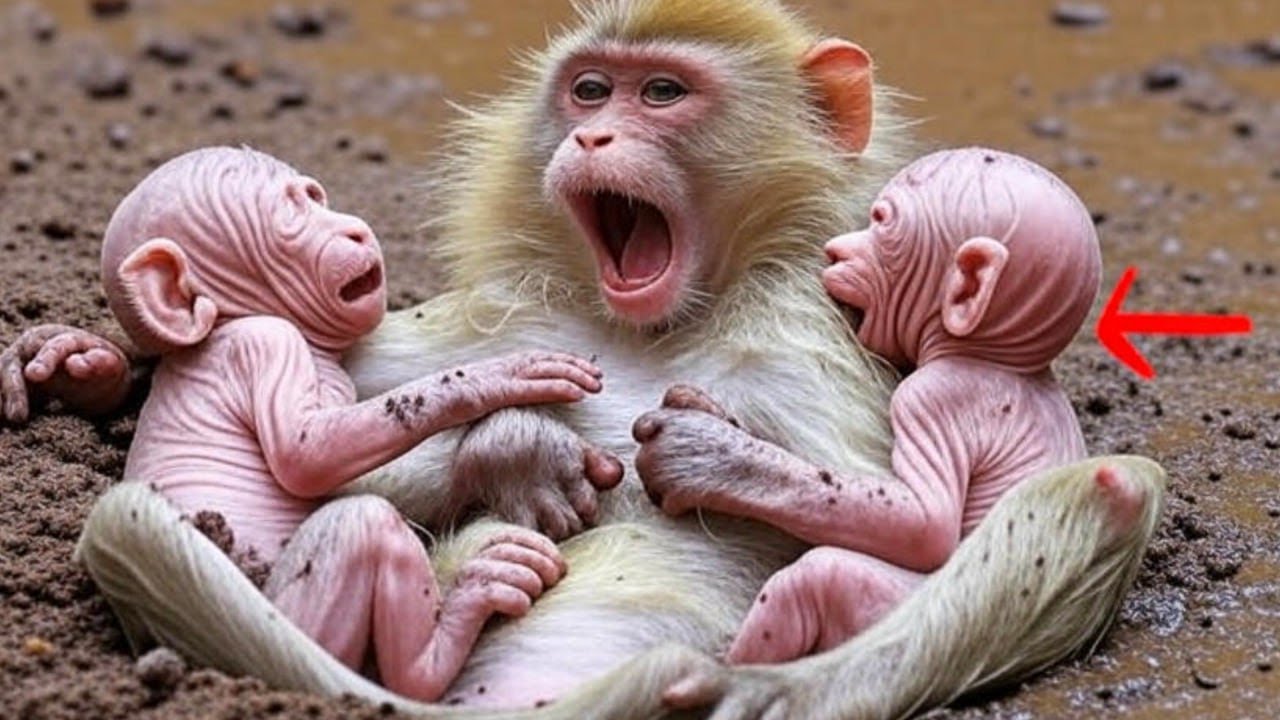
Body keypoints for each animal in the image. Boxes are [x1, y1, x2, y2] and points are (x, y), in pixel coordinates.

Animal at [80, 145, 609, 702]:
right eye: (292, 215)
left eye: (316, 198)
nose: (353, 230)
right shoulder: (266, 341)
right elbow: (307, 457)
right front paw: (500, 376)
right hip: (286, 626)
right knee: (362, 526)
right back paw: (453, 627)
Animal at [629, 147, 1108, 665]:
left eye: (879, 223)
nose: (836, 249)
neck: (998, 360)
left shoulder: (929, 397)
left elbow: (924, 525)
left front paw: (704, 457)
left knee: (820, 575)